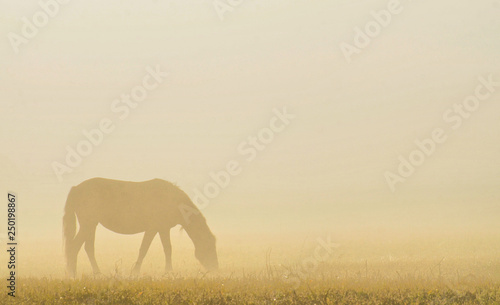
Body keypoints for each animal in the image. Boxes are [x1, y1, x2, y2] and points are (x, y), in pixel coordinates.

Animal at [62, 177, 219, 276]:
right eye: (209, 246)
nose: (215, 268)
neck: (173, 201)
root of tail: (76, 188)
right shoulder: (153, 229)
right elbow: (146, 249)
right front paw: (137, 271)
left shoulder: (162, 229)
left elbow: (165, 249)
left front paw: (167, 271)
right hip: (88, 225)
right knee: (74, 247)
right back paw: (73, 274)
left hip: (91, 225)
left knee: (87, 248)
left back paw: (96, 273)